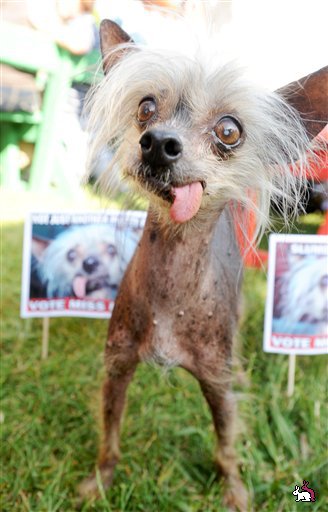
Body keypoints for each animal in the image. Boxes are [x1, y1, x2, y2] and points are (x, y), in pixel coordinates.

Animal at [80, 18, 328, 510]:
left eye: (229, 131)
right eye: (146, 108)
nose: (158, 143)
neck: (172, 285)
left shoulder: (216, 383)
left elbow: (227, 447)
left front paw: (234, 492)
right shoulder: (117, 367)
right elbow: (109, 436)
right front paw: (99, 481)